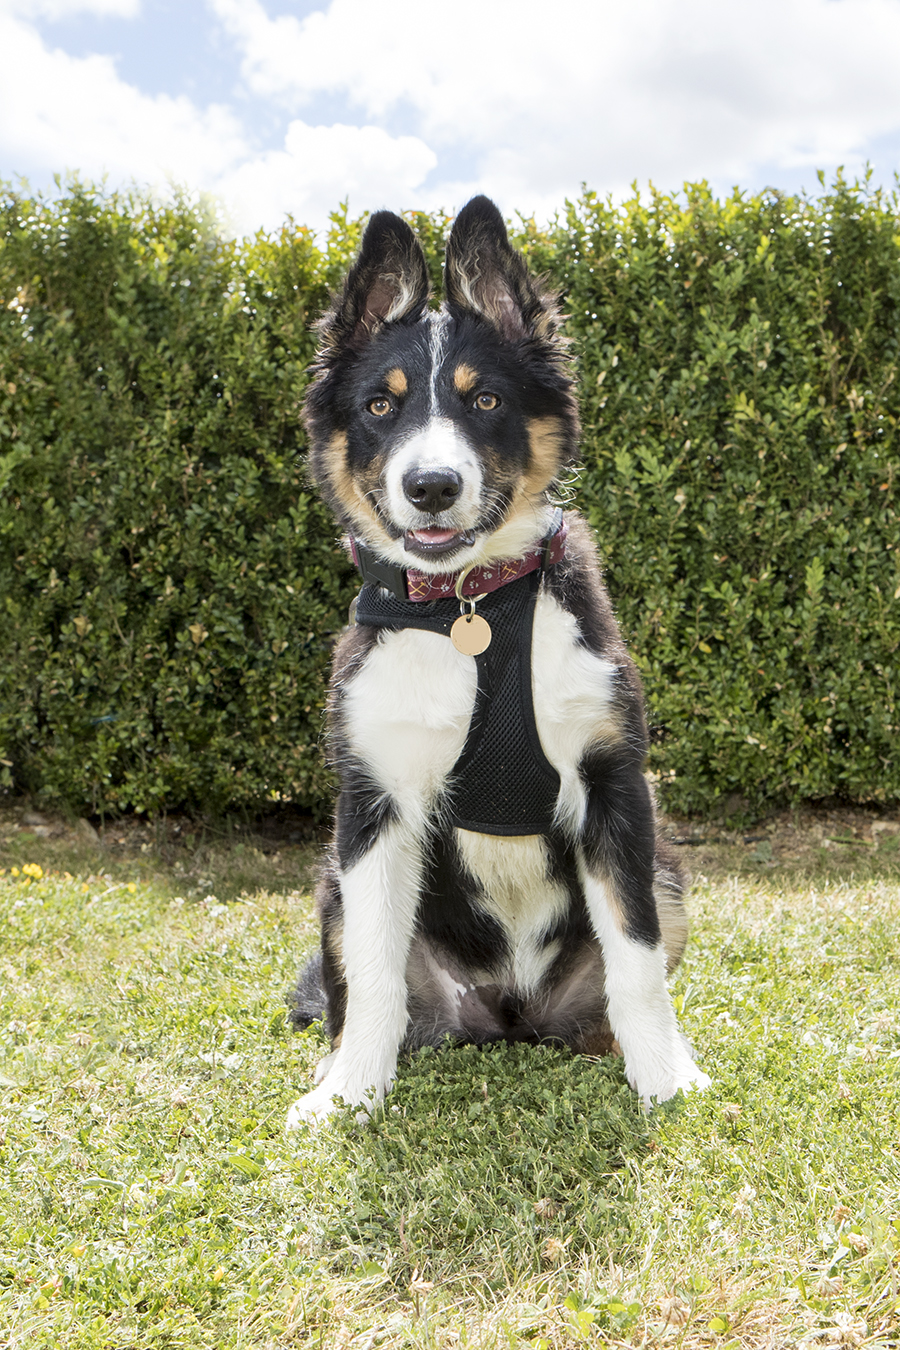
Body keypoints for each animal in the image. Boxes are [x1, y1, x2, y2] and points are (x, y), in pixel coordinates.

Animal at [288, 197, 712, 1128]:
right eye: (380, 405)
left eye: (484, 398)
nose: (432, 487)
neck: (469, 609)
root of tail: (511, 1014)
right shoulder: (374, 804)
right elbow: (370, 974)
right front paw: (351, 1095)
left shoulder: (613, 785)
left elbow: (636, 960)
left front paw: (666, 1079)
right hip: (332, 879)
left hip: (665, 869)